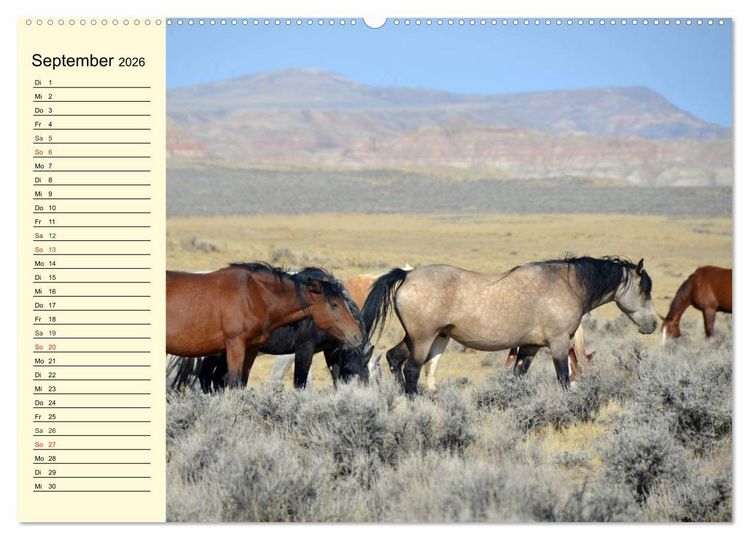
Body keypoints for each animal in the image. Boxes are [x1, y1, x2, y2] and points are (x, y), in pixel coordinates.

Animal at [363, 256, 658, 394]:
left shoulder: (529, 348)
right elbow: (564, 378)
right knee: (412, 369)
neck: (566, 285)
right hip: (424, 339)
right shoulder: (559, 344)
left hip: (419, 338)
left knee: (394, 358)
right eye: (645, 289)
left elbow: (517, 378)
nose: (653, 324)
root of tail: (407, 275)